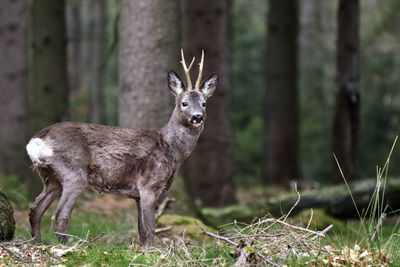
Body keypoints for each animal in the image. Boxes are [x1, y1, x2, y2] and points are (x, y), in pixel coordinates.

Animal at [26, 50, 217, 247]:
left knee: (35, 210)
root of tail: (36, 139)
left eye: (204, 103)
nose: (197, 117)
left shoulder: (137, 195)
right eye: (184, 103)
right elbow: (150, 229)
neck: (172, 150)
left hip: (51, 178)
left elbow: (141, 230)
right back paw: (68, 247)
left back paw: (38, 244)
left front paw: (143, 249)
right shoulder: (149, 186)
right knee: (59, 215)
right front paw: (155, 250)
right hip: (74, 173)